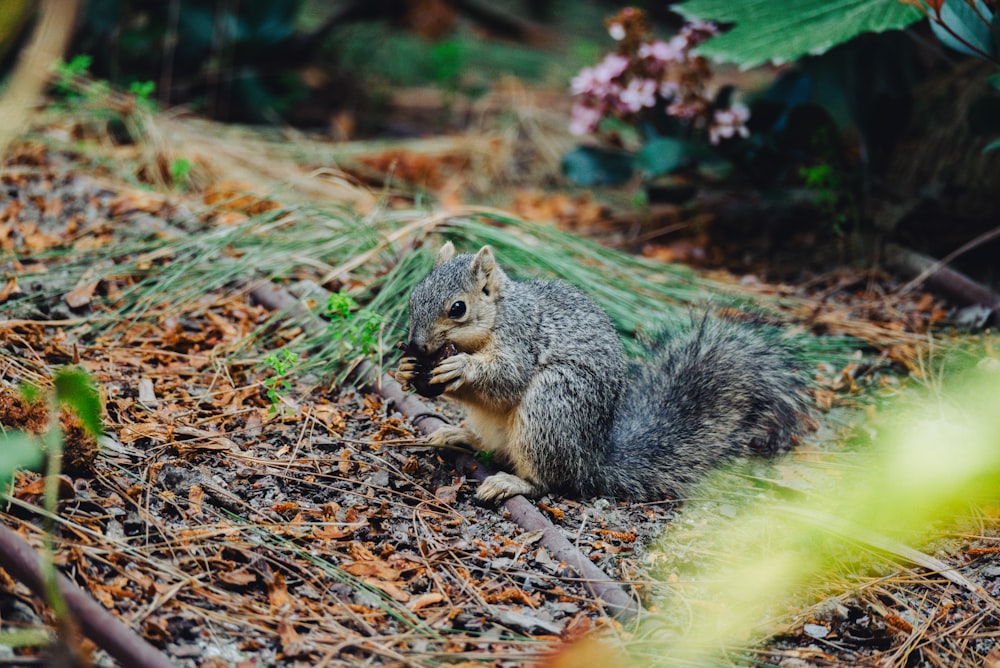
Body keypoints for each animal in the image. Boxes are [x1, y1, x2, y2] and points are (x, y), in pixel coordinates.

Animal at [394, 243, 808, 504]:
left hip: (552, 406)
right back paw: (459, 435)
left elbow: (507, 378)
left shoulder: (522, 338)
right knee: (494, 447)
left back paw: (514, 483)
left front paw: (460, 367)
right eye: (413, 297)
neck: (496, 317)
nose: (415, 346)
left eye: (458, 308)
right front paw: (405, 369)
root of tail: (592, 460)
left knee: (552, 481)